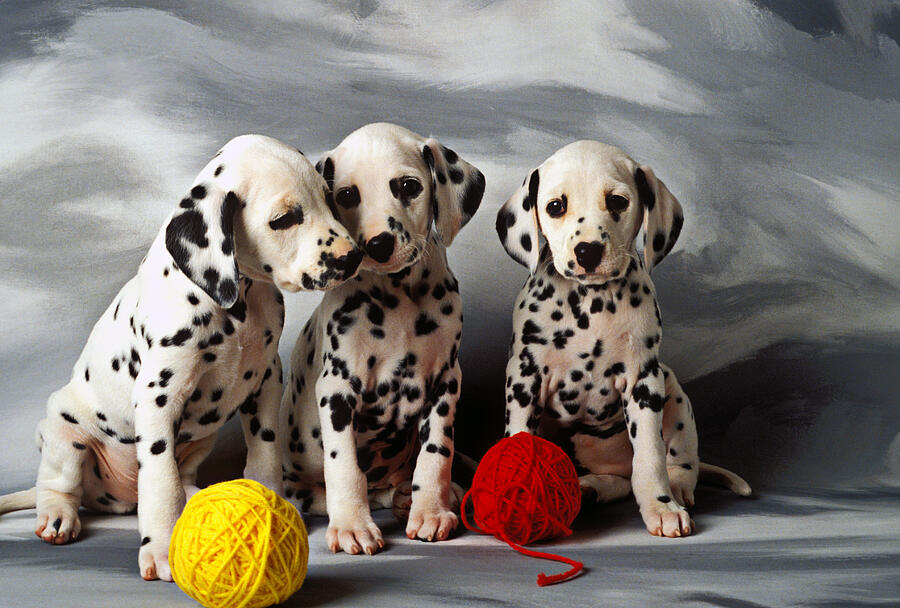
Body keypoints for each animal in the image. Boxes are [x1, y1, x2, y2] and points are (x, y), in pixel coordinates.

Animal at [1, 135, 366, 580]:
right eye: (284, 219)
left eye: (330, 201)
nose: (353, 256)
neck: (237, 302)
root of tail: (116, 496)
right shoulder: (159, 395)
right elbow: (160, 482)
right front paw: (159, 548)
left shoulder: (265, 380)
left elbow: (263, 458)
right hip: (62, 434)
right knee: (58, 487)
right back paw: (57, 516)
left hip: (200, 441)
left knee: (181, 479)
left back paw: (198, 493)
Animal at [284, 122, 486, 556]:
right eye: (347, 195)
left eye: (408, 186)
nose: (377, 244)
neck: (398, 299)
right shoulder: (337, 389)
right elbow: (344, 466)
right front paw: (351, 525)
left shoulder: (446, 382)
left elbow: (436, 454)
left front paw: (431, 511)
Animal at [496, 141, 748, 536]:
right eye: (556, 206)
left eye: (617, 201)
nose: (587, 251)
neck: (590, 305)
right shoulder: (525, 378)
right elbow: (521, 440)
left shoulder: (643, 382)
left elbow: (649, 457)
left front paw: (661, 507)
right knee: (616, 481)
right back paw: (589, 489)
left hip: (673, 390)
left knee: (673, 462)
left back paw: (675, 488)